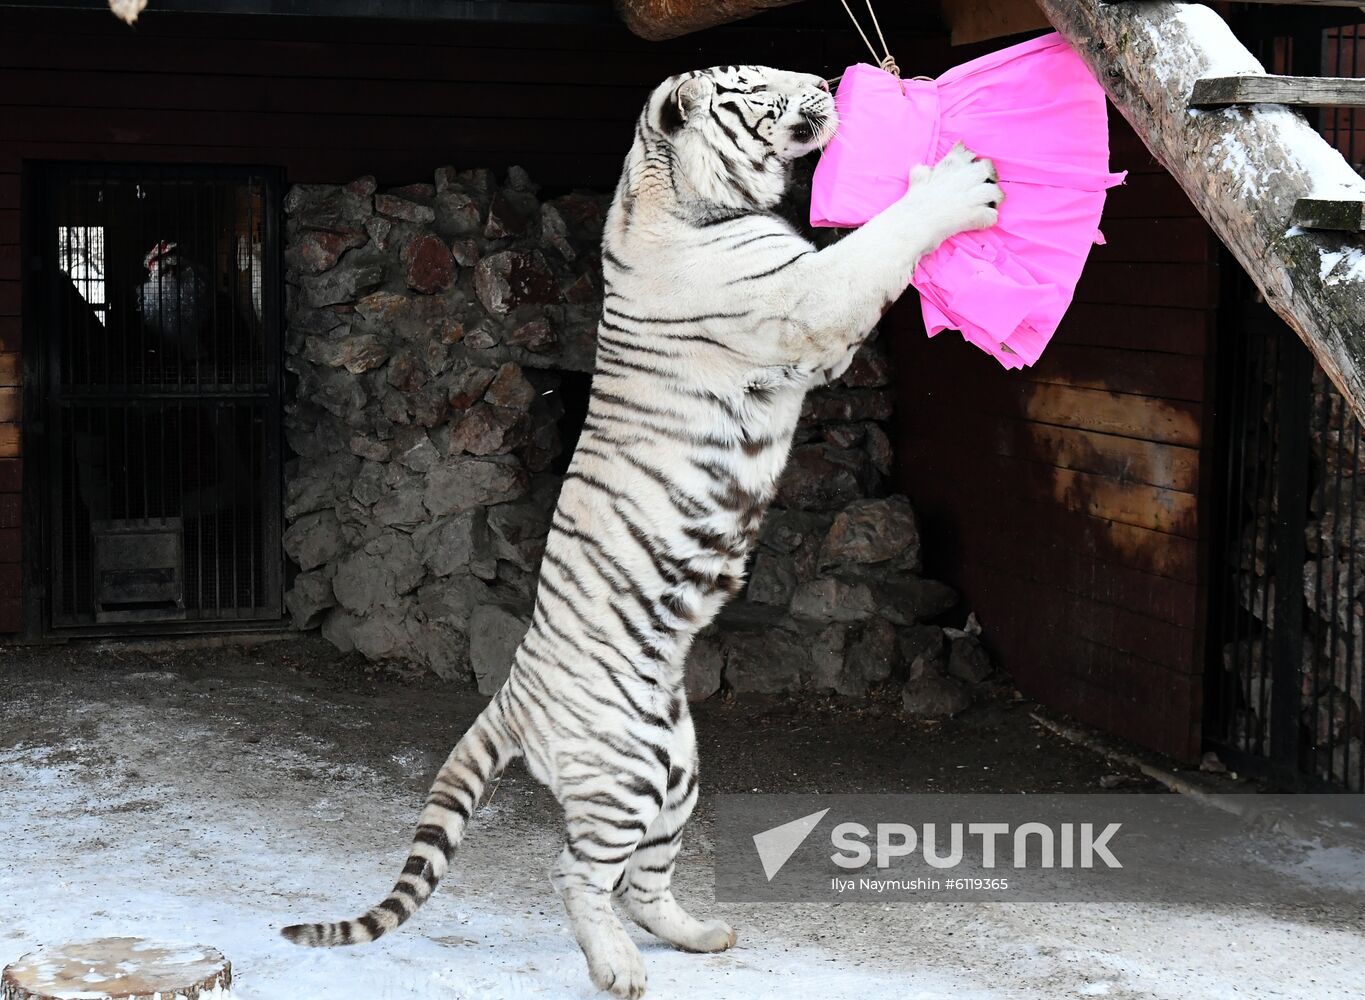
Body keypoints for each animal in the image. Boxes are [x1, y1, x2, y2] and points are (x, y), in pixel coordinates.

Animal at [282, 64, 1001, 999]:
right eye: (761, 86)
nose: (821, 79)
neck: (664, 189)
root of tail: (509, 694)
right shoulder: (805, 302)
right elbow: (877, 248)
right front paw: (955, 184)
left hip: (676, 771)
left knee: (642, 880)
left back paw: (698, 935)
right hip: (622, 775)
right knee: (576, 873)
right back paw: (619, 968)